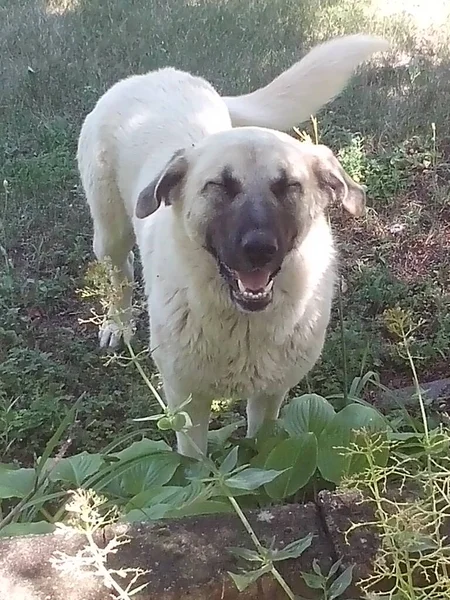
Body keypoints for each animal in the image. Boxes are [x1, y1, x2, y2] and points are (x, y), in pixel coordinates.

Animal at [76, 36, 386, 460]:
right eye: (219, 186)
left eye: (288, 186)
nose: (259, 249)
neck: (244, 325)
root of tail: (154, 75)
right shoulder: (187, 402)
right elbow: (193, 463)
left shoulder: (271, 395)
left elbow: (261, 442)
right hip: (109, 233)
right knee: (118, 274)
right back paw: (117, 325)